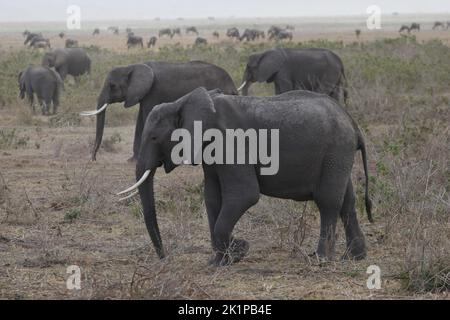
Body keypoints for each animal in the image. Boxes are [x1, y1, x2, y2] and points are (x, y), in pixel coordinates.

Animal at [79, 61, 237, 161]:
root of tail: (232, 85)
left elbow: (146, 118)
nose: (93, 159)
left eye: (112, 86)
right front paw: (132, 160)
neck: (132, 66)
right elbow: (140, 121)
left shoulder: (153, 91)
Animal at [118, 86, 372, 266]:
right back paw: (353, 258)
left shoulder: (230, 143)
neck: (182, 101)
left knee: (328, 201)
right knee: (347, 201)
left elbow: (244, 195)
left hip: (335, 150)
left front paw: (238, 250)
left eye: (154, 138)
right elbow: (212, 198)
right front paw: (220, 261)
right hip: (338, 155)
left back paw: (320, 259)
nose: (164, 258)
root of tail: (353, 123)